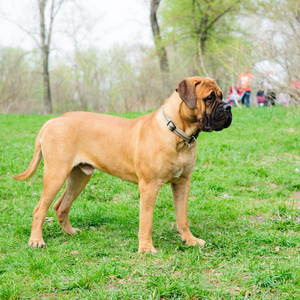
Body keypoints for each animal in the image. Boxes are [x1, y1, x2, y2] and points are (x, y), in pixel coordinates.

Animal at [14, 76, 232, 252]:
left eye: (222, 95)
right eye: (210, 98)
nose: (228, 107)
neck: (177, 133)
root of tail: (53, 120)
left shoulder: (182, 183)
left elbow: (182, 217)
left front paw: (190, 240)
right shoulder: (149, 187)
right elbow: (146, 221)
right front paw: (146, 248)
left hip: (79, 176)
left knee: (61, 206)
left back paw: (70, 232)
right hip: (56, 173)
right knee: (39, 209)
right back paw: (36, 240)